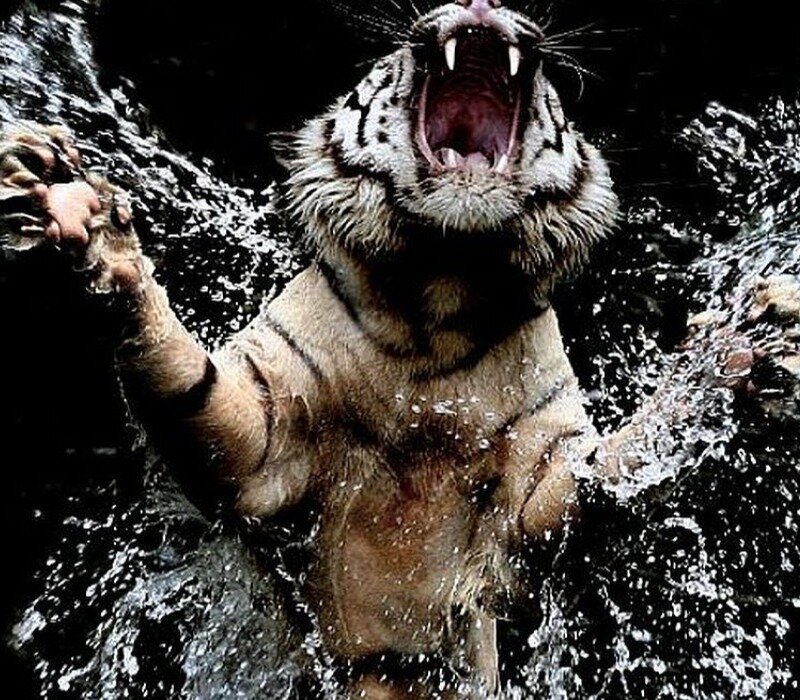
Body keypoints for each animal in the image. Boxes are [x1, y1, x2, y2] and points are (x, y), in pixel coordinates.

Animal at [1, 1, 798, 698]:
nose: (482, 0)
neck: (438, 300)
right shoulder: (262, 438)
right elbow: (188, 382)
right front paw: (75, 207)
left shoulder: (538, 482)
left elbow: (612, 473)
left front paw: (740, 351)